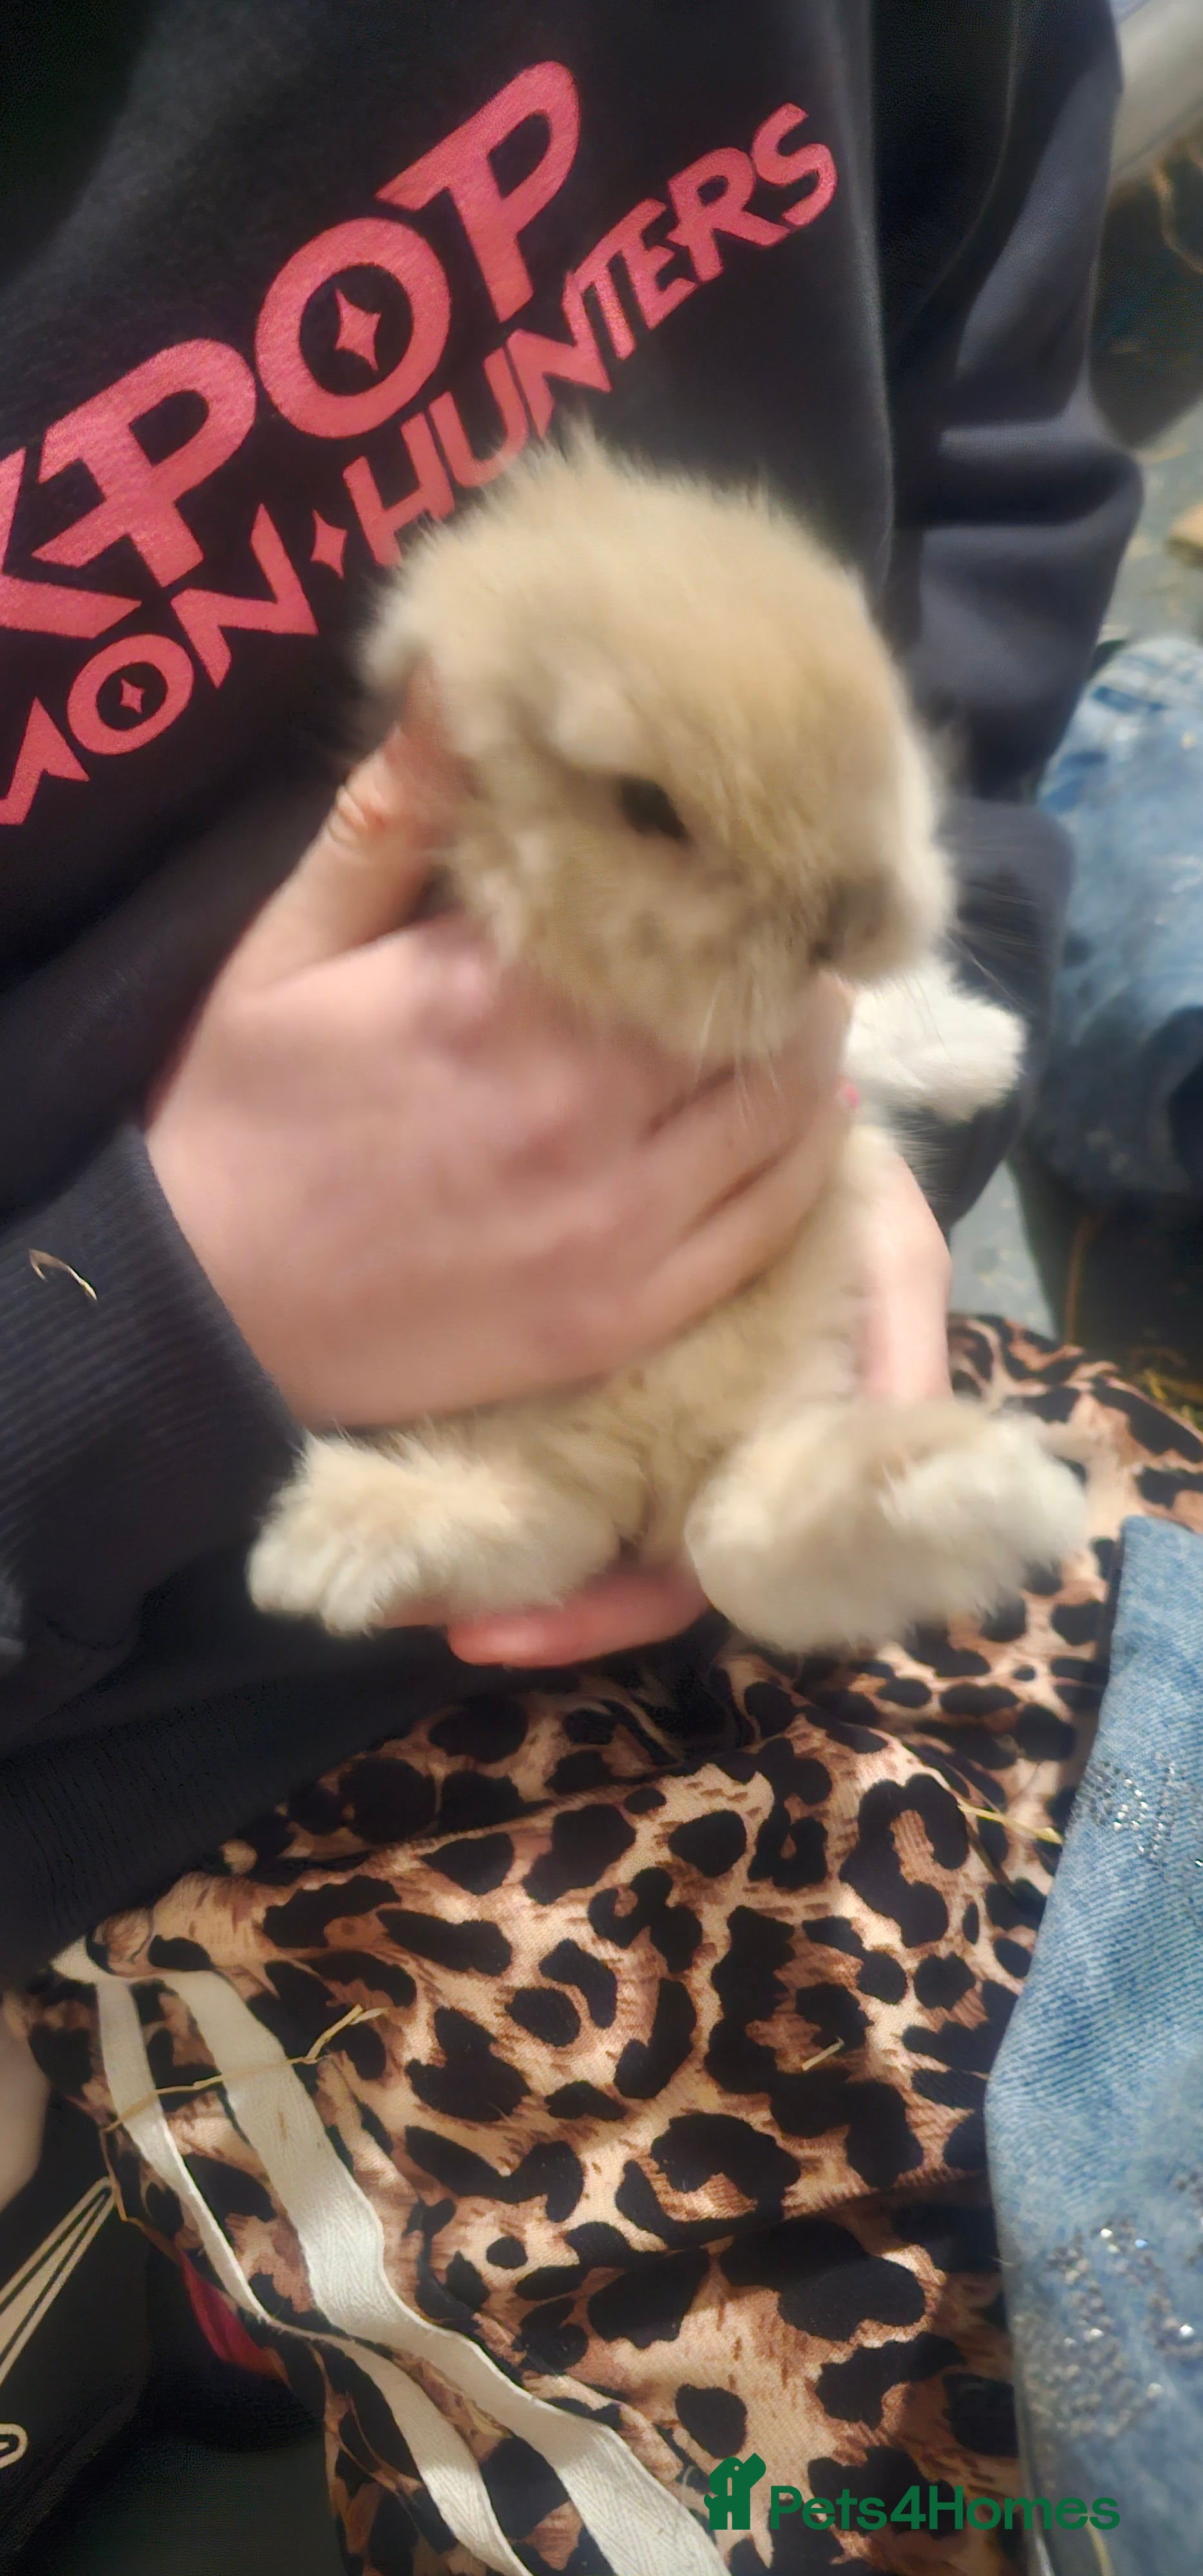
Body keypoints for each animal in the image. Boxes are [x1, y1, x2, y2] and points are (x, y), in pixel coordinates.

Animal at [248, 437, 1084, 1653]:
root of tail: (651, 1475)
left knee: (746, 1542)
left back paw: (969, 1486)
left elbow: (869, 1030)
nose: (852, 918)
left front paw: (989, 1049)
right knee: (640, 1537)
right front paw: (990, 1045)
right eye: (648, 806)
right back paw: (320, 1554)